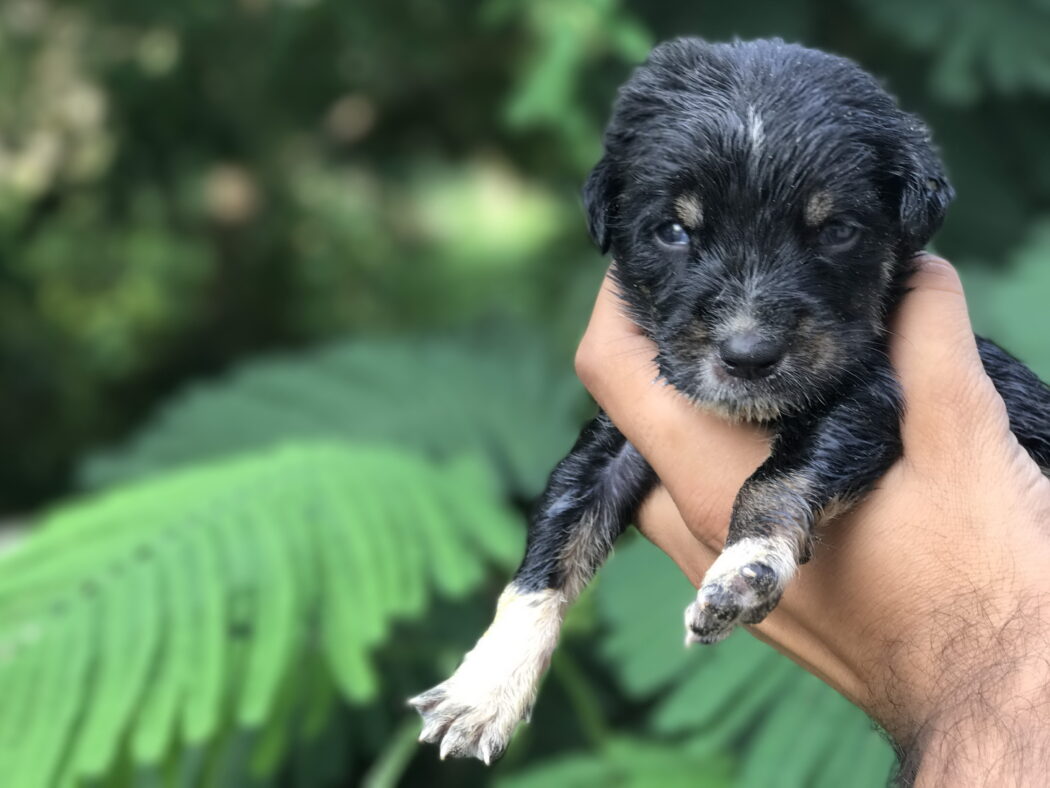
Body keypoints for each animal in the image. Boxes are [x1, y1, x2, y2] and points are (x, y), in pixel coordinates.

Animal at [407, 37, 1050, 764]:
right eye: (673, 231)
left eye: (836, 231)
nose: (747, 356)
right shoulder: (612, 440)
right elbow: (550, 548)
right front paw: (485, 689)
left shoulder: (863, 404)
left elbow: (776, 481)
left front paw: (747, 569)